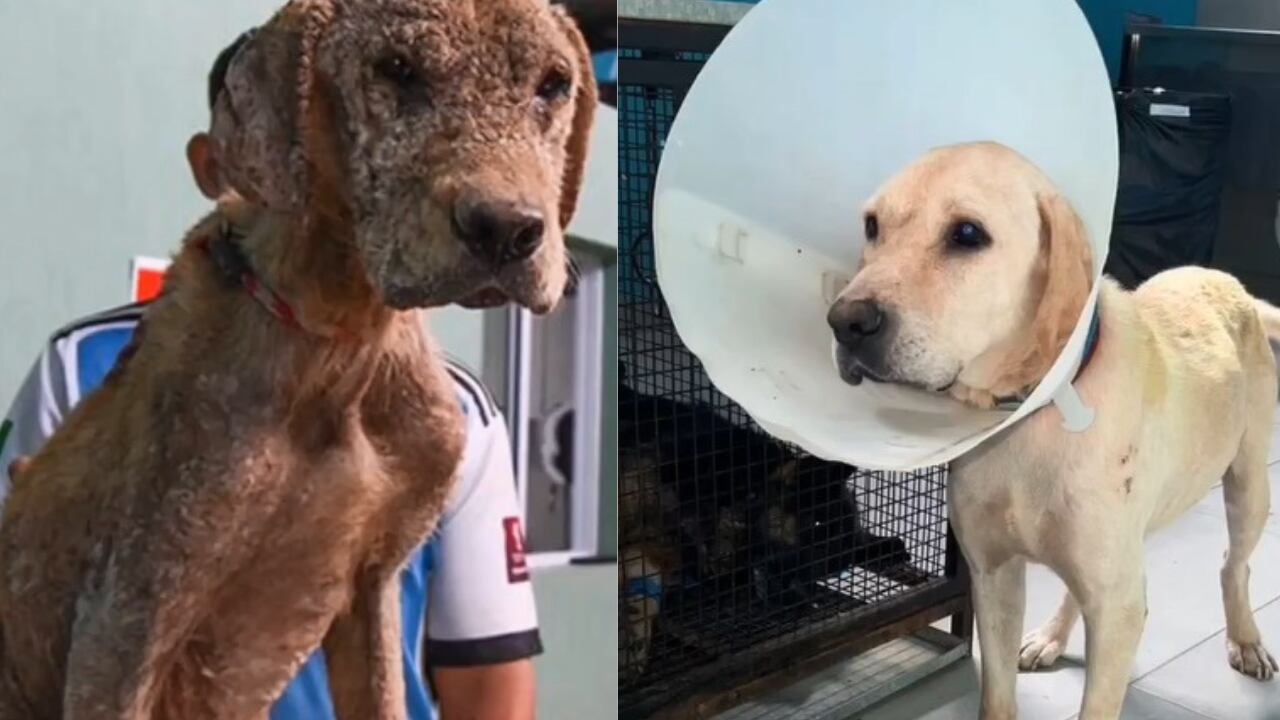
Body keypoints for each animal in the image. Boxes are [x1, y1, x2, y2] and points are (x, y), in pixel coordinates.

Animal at [0, 1, 593, 717]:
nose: (507, 229)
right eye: (395, 67)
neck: (340, 342)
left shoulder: (373, 585)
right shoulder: (128, 611)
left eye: (554, 83)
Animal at [824, 141, 1274, 717]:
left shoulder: (1117, 606)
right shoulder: (993, 578)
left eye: (967, 233)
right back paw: (1051, 637)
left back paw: (1245, 639)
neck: (1030, 419)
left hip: (1248, 486)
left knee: (1232, 565)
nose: (845, 323)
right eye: (872, 226)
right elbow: (996, 696)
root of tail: (1230, 283)